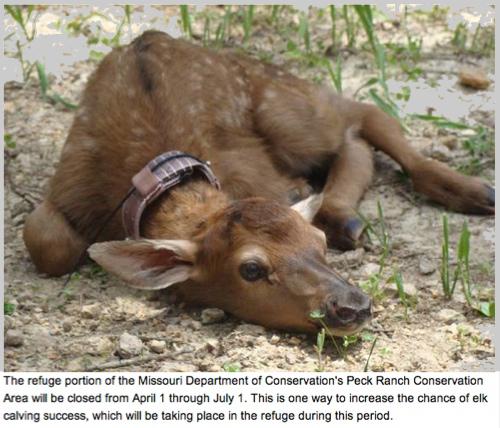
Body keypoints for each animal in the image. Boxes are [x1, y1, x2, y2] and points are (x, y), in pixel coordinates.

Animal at [22, 30, 492, 334]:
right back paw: (345, 217)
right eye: (250, 269)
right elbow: (49, 244)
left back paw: (476, 191)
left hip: (281, 102)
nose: (353, 307)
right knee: (356, 136)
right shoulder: (68, 182)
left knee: (361, 114)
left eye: (317, 243)